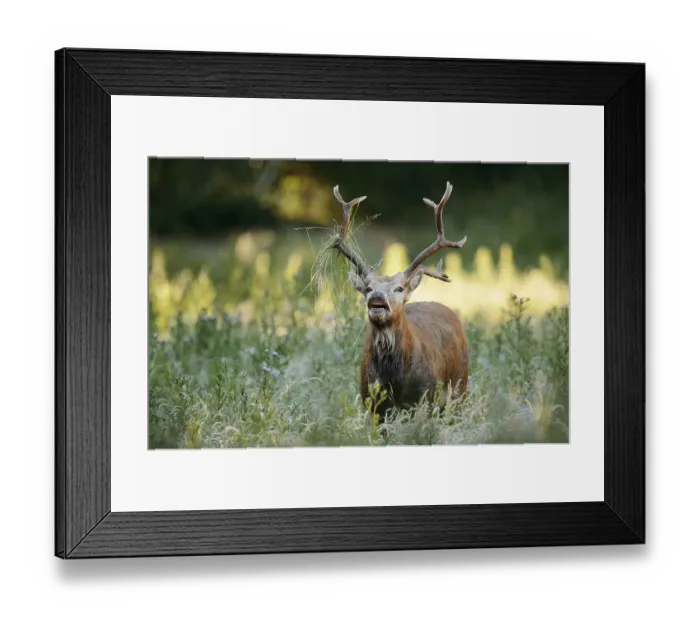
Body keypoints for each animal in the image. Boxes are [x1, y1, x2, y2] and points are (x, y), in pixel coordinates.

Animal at [330, 181, 470, 423]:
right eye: (368, 288)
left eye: (399, 288)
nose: (376, 298)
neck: (395, 381)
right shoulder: (372, 402)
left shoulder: (426, 396)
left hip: (460, 385)